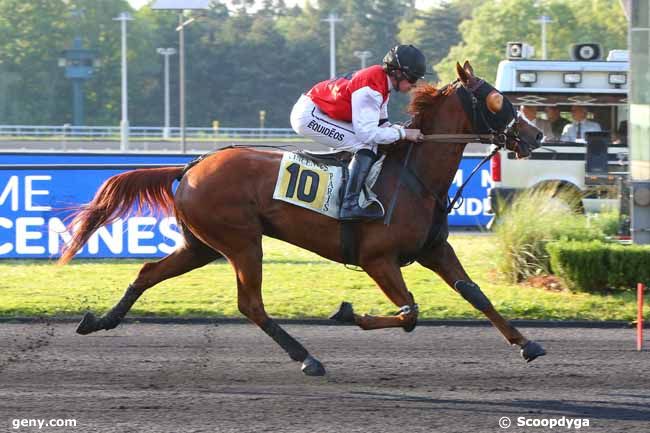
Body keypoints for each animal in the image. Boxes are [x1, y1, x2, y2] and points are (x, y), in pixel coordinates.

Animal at [60, 61, 544, 374]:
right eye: (497, 98)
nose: (536, 135)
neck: (414, 177)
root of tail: (191, 165)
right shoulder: (377, 259)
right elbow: (409, 313)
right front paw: (348, 313)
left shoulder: (434, 249)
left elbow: (475, 293)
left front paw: (527, 344)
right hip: (241, 242)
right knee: (250, 304)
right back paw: (308, 357)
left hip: (200, 244)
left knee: (148, 272)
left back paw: (99, 321)